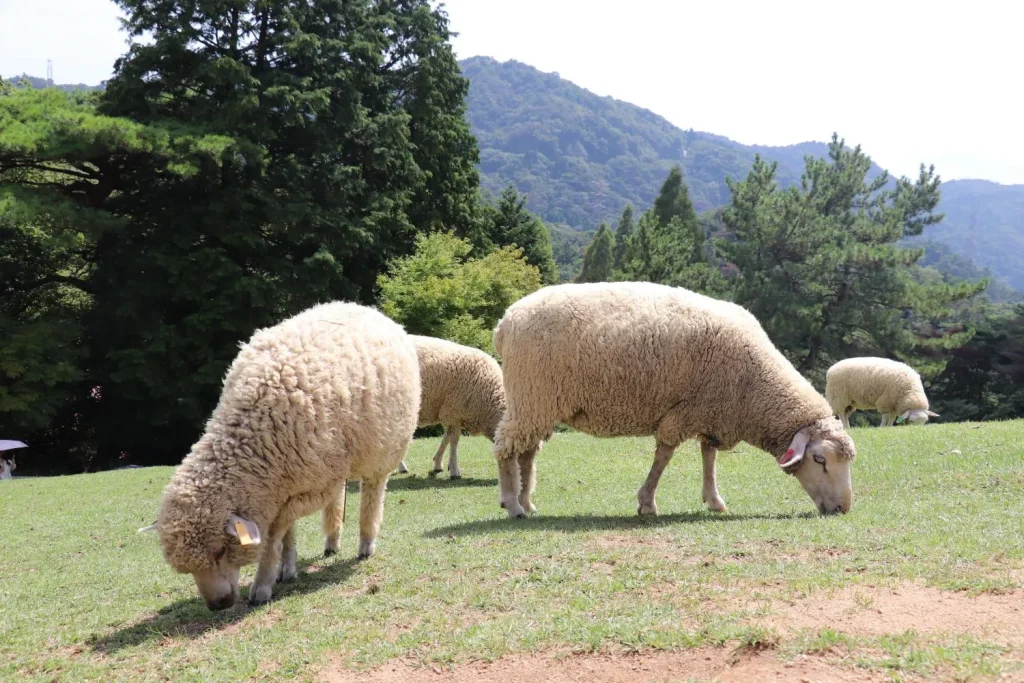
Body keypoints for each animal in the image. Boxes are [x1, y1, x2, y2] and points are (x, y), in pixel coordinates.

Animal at [144, 301, 419, 610]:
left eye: (220, 551)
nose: (218, 605)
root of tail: (364, 308)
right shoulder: (287, 481)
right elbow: (286, 531)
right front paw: (286, 568)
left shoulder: (306, 488)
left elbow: (274, 534)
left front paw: (263, 584)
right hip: (335, 462)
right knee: (338, 498)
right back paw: (332, 541)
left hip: (380, 453)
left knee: (372, 495)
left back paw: (366, 544)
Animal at [393, 333, 505, 479]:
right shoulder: (453, 410)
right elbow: (454, 441)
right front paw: (454, 470)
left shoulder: (452, 414)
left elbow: (446, 438)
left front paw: (437, 464)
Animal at [491, 282, 860, 518]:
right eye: (820, 460)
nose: (843, 508)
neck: (753, 386)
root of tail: (505, 321)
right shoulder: (683, 412)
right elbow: (664, 457)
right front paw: (647, 503)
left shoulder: (713, 411)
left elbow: (709, 457)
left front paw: (713, 500)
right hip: (531, 394)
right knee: (506, 448)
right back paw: (512, 505)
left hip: (538, 401)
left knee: (526, 452)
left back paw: (527, 502)